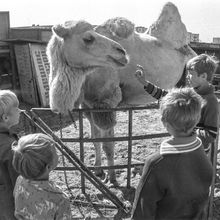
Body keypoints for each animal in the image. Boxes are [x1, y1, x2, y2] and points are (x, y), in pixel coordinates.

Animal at [47, 2, 196, 186]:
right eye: (88, 38)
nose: (122, 52)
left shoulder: (106, 102)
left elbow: (108, 145)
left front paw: (112, 178)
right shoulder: (88, 104)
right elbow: (94, 138)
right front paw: (98, 170)